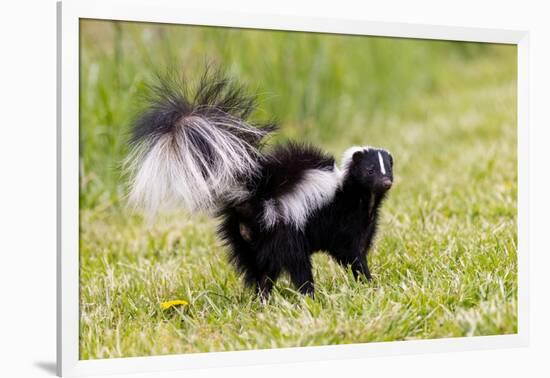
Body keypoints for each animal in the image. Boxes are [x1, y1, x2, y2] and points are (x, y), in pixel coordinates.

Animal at [126, 69, 392, 296]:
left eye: (388, 168)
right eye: (370, 170)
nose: (387, 182)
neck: (358, 196)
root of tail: (254, 197)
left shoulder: (364, 223)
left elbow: (357, 250)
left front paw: (366, 281)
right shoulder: (343, 221)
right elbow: (352, 254)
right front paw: (368, 281)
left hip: (246, 239)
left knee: (259, 270)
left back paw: (263, 298)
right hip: (283, 229)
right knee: (296, 265)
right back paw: (307, 294)